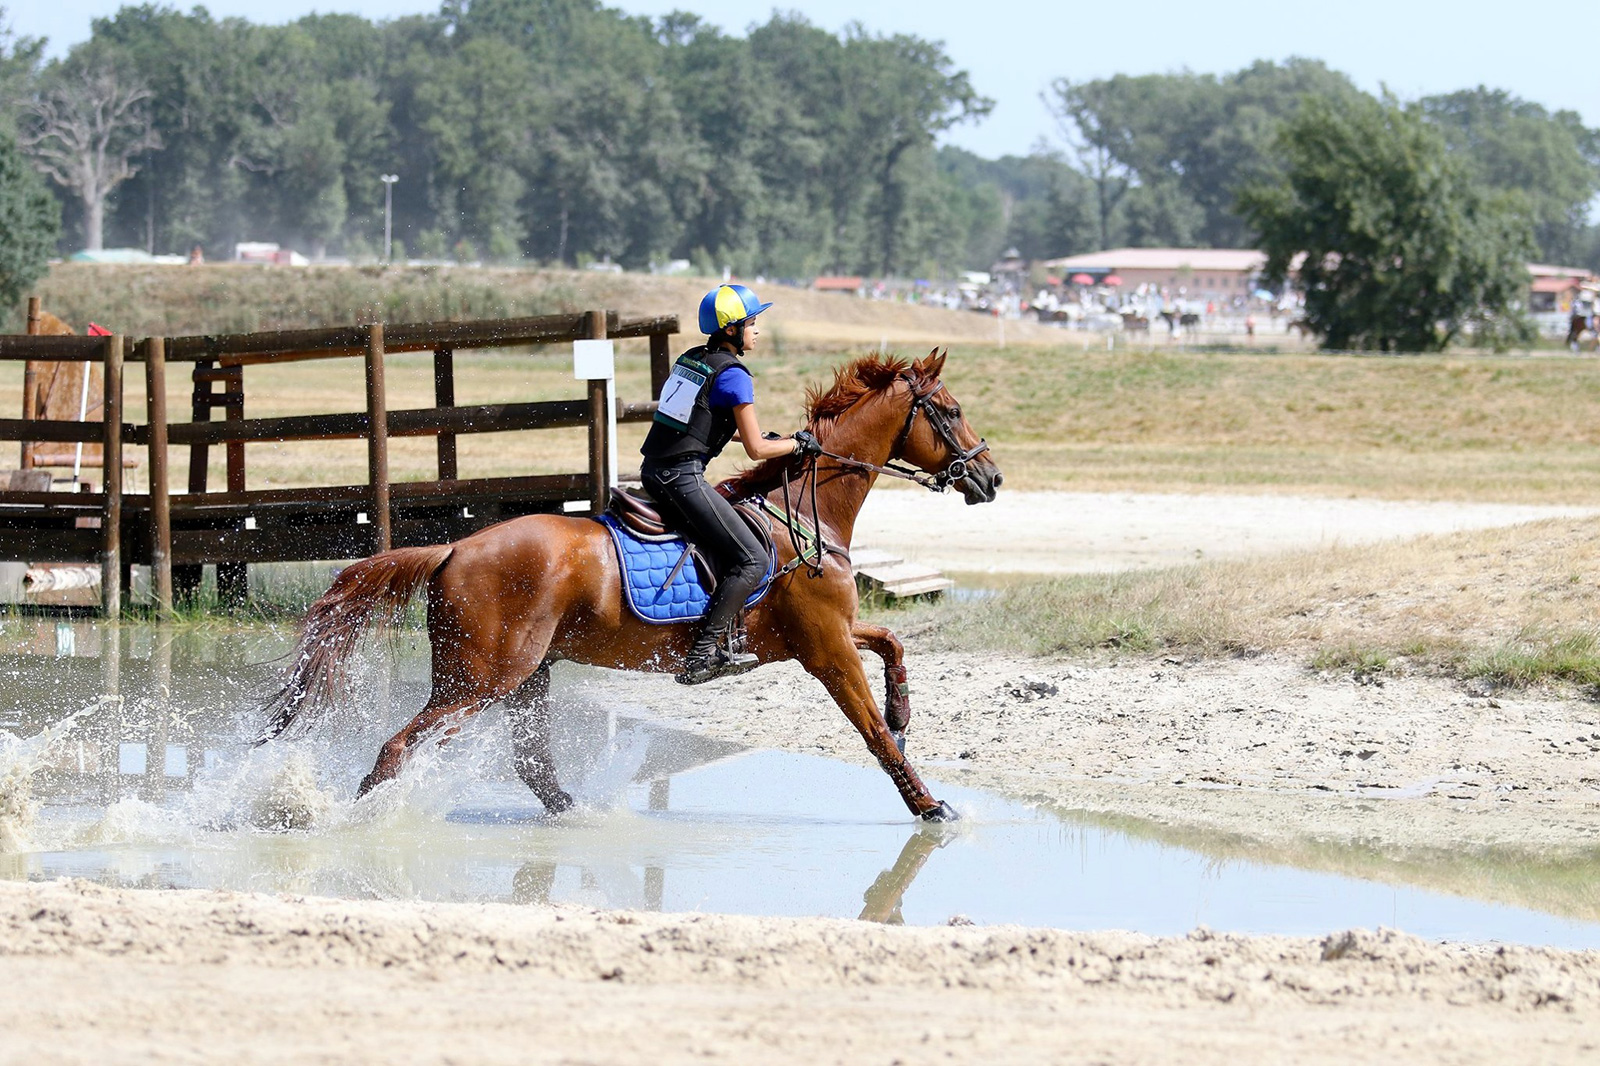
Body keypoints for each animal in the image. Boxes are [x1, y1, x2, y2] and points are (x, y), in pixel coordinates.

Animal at [259, 352, 998, 816]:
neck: (804, 510)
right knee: (398, 749)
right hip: (479, 681)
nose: (990, 478)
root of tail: (455, 548)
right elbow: (872, 734)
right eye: (951, 409)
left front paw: (903, 707)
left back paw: (577, 815)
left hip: (526, 674)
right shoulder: (827, 651)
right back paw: (346, 820)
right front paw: (929, 805)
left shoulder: (829, 633)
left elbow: (892, 642)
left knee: (531, 760)